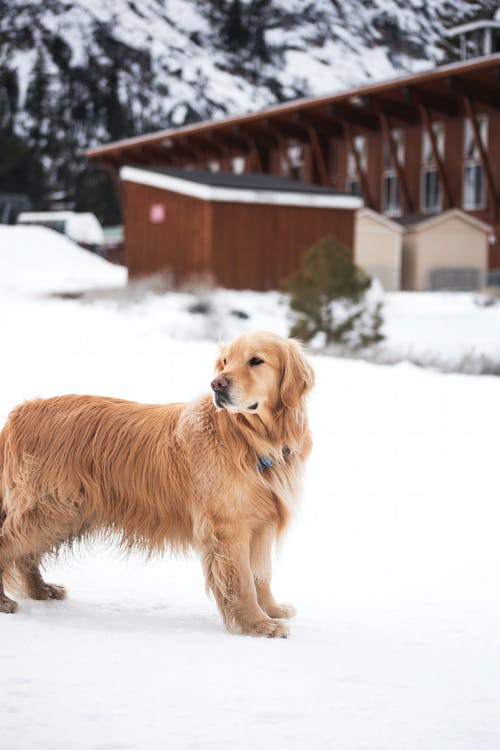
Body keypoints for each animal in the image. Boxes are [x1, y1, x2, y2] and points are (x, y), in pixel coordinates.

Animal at [0, 332, 312, 636]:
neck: (250, 439)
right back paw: (5, 600)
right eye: (224, 362)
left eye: (256, 360)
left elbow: (262, 575)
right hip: (52, 510)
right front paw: (258, 625)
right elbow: (244, 581)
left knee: (26, 556)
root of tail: (19, 413)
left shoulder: (262, 523)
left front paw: (271, 610)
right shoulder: (229, 527)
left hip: (66, 514)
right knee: (9, 544)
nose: (217, 384)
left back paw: (40, 590)